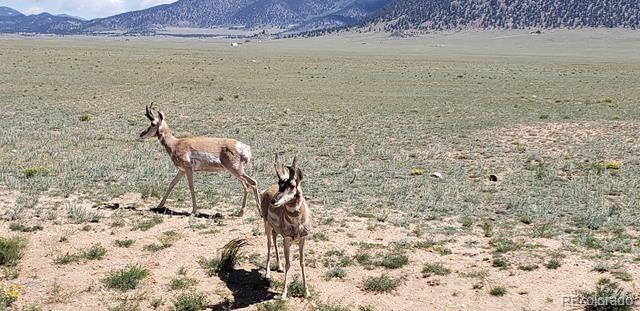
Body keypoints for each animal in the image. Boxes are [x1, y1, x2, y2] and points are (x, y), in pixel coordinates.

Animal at [260, 155, 310, 302]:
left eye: (292, 185)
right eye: (279, 184)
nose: (273, 201)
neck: (297, 224)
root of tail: (266, 191)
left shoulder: (303, 239)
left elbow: (302, 262)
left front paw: (307, 292)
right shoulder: (287, 239)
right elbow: (289, 264)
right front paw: (283, 294)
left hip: (276, 230)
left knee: (274, 240)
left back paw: (279, 267)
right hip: (267, 224)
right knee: (269, 243)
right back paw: (268, 274)